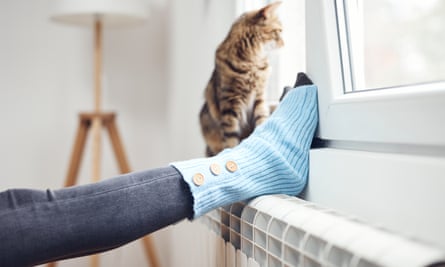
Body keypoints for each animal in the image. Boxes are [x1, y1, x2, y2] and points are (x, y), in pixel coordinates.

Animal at [199, 1, 282, 157]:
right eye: (278, 32)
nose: (284, 43)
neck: (250, 62)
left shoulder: (259, 98)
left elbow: (261, 120)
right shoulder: (230, 103)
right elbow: (231, 138)